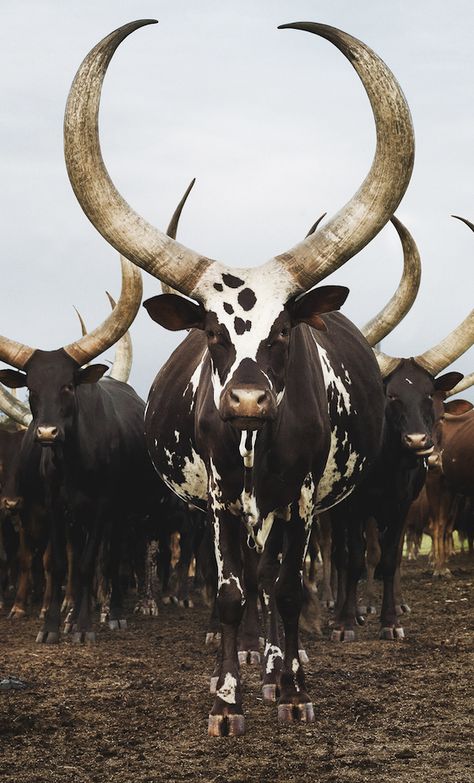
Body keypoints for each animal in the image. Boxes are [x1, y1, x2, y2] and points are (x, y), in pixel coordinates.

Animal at [64, 19, 414, 736]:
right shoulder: (223, 500)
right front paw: (226, 699)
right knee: (251, 581)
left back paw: (282, 663)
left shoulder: (302, 499)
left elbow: (291, 587)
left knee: (281, 580)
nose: (248, 399)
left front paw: (293, 689)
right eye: (212, 332)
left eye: (284, 332)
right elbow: (230, 591)